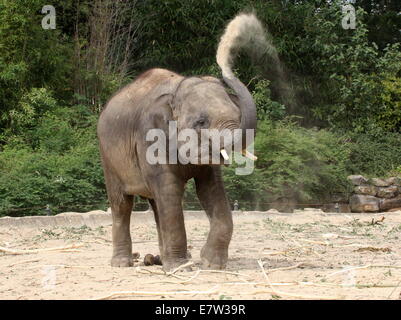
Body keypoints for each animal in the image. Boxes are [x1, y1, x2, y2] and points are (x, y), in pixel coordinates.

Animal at [97, 12, 266, 270]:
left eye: (237, 115)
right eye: (201, 121)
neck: (176, 90)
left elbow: (210, 189)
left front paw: (210, 264)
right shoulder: (149, 136)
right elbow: (169, 189)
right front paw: (180, 268)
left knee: (157, 204)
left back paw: (159, 259)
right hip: (108, 157)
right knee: (122, 204)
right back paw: (124, 263)